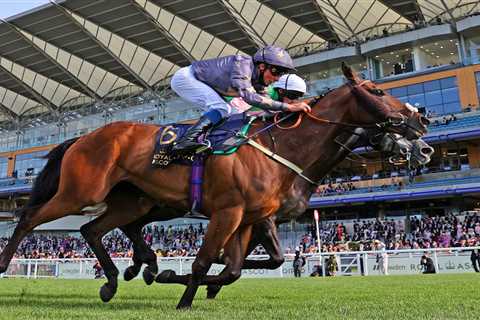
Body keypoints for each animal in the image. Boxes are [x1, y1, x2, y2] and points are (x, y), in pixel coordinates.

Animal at [0, 63, 432, 308]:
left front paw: (185, 282)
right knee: (30, 217)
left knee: (94, 229)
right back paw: (8, 264)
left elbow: (242, 266)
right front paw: (184, 297)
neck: (284, 148)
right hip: (81, 191)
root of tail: (85, 136)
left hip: (132, 202)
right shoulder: (230, 212)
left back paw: (121, 277)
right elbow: (207, 261)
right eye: (377, 91)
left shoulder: (251, 217)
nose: (422, 124)